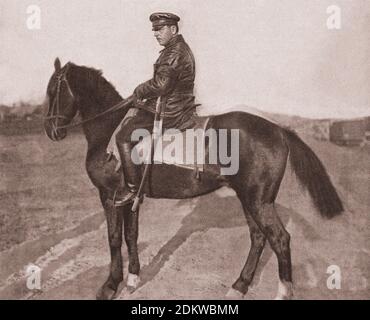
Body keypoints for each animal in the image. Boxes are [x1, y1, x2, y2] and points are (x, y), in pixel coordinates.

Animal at [44, 58, 344, 300]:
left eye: (52, 91)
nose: (50, 131)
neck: (108, 130)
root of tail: (279, 130)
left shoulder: (109, 196)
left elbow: (114, 238)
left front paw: (109, 286)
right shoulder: (129, 198)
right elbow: (131, 235)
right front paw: (133, 278)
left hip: (259, 201)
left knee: (279, 239)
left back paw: (279, 292)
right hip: (249, 198)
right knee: (259, 238)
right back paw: (239, 285)